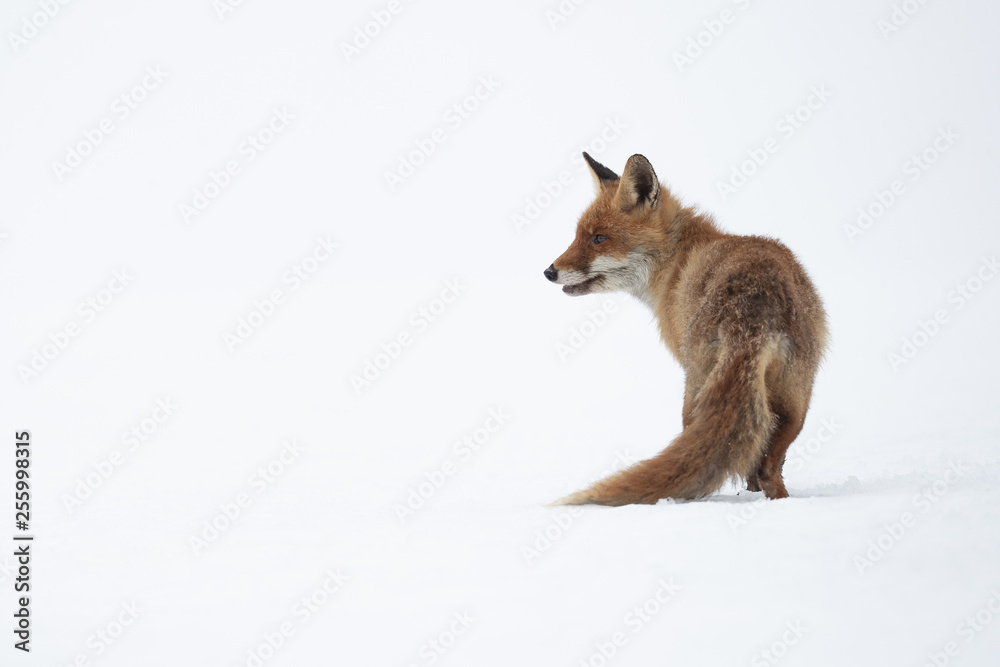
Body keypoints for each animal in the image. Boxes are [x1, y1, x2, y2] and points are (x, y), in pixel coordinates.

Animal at [545, 152, 827, 506]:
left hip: (695, 392)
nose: (549, 271)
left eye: (599, 238)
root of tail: (752, 310)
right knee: (767, 467)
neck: (676, 265)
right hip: (797, 400)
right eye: (578, 236)